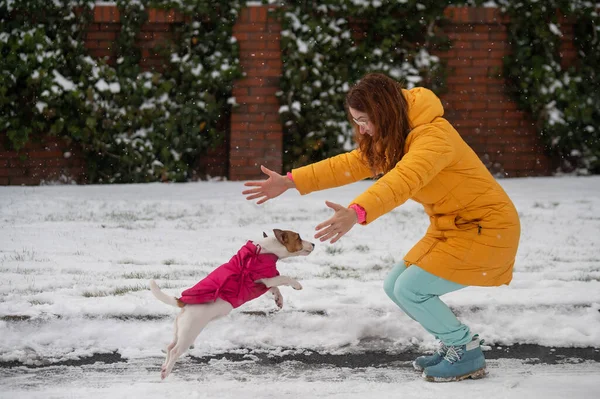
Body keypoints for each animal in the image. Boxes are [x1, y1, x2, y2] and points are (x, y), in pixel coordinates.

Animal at [149, 230, 314, 380]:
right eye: (298, 237)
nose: (313, 244)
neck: (263, 251)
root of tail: (183, 303)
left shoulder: (265, 284)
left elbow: (275, 288)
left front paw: (279, 299)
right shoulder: (266, 279)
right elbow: (283, 278)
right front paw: (296, 284)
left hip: (180, 331)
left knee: (169, 347)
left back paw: (164, 366)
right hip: (188, 334)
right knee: (175, 351)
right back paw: (166, 372)